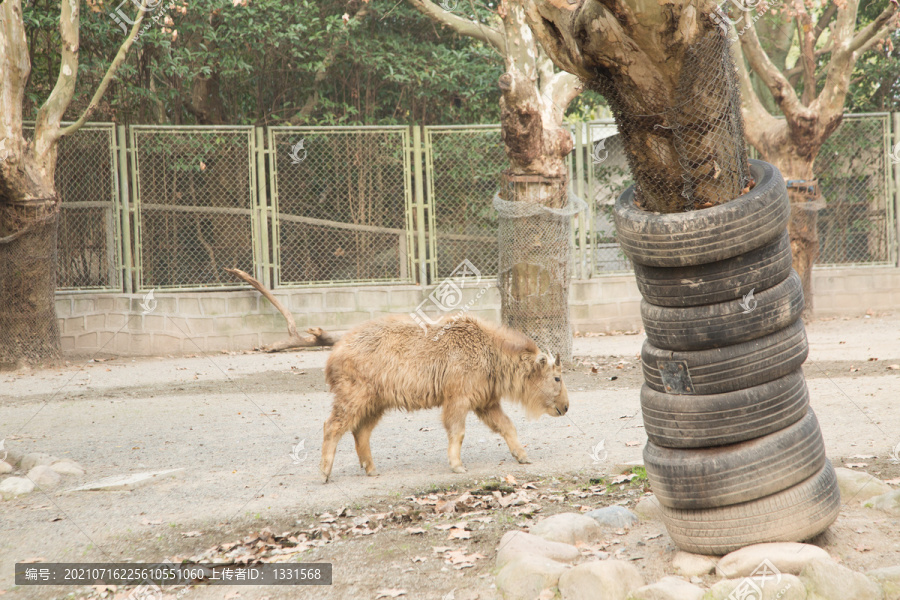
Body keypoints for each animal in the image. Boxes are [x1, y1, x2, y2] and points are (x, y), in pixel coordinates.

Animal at [320, 314, 568, 482]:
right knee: (332, 427)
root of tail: (335, 352)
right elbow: (458, 433)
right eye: (557, 377)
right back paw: (325, 472)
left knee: (361, 432)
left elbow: (507, 426)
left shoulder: (486, 403)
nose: (565, 407)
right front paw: (457, 465)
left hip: (375, 404)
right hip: (354, 399)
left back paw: (371, 469)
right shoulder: (458, 400)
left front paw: (522, 456)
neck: (489, 350)